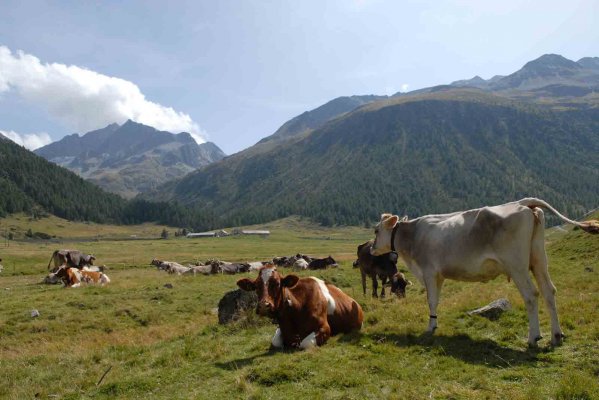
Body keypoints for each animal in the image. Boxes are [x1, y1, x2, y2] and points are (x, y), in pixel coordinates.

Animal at [372, 197, 596, 346]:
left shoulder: (428, 271)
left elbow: (431, 300)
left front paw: (430, 328)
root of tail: (523, 203)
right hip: (539, 260)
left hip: (517, 266)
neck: (413, 235)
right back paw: (556, 336)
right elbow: (436, 300)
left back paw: (533, 337)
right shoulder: (439, 276)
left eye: (375, 230)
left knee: (531, 295)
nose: (372, 248)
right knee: (549, 291)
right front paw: (434, 324)